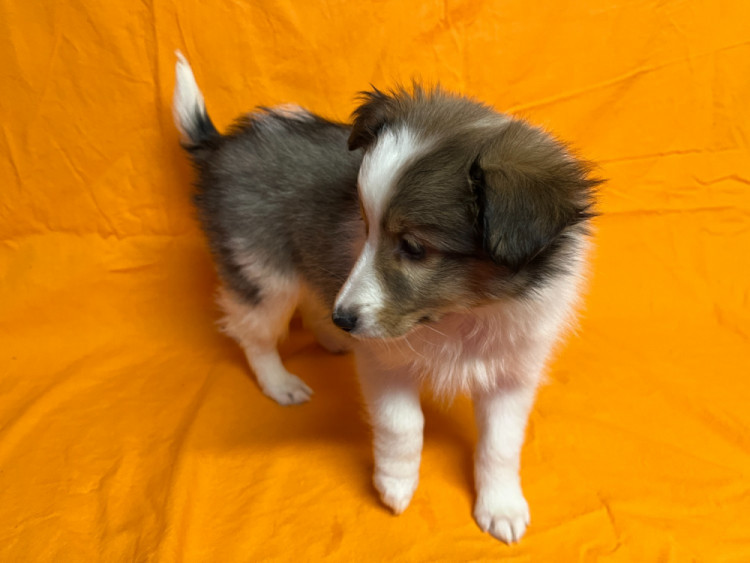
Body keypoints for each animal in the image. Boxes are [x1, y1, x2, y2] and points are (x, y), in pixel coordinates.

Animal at [172, 52, 599, 544]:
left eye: (413, 247)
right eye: (364, 225)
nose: (345, 320)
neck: (462, 316)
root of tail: (221, 145)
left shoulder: (512, 374)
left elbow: (501, 445)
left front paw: (502, 507)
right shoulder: (384, 360)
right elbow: (403, 425)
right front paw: (395, 486)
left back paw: (330, 339)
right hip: (263, 274)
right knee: (255, 334)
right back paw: (281, 381)